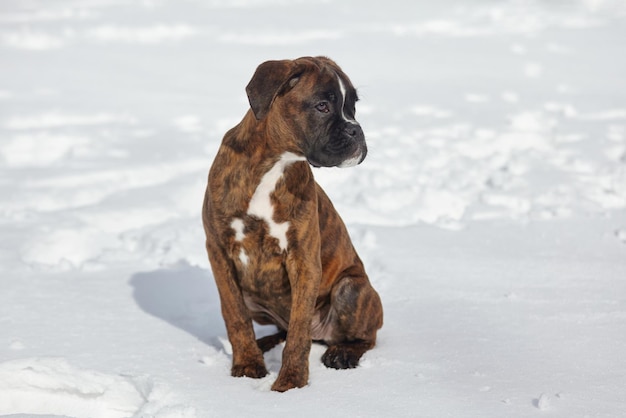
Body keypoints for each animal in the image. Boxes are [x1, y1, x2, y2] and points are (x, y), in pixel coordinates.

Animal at [202, 55, 382, 392]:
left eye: (353, 106)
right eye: (323, 106)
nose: (357, 130)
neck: (274, 163)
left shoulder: (303, 258)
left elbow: (299, 331)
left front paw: (291, 382)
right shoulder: (218, 251)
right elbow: (235, 315)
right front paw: (247, 364)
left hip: (350, 289)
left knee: (365, 337)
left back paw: (342, 354)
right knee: (280, 329)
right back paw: (263, 344)